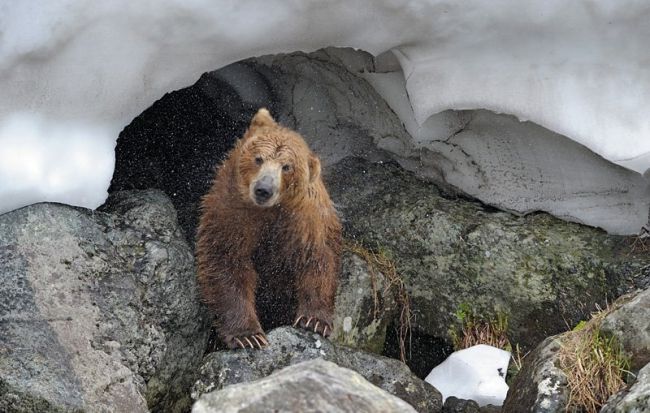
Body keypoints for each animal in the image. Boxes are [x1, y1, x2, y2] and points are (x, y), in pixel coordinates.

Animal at [195, 108, 342, 348]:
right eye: (258, 158)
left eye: (287, 166)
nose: (264, 189)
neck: (269, 213)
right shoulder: (232, 216)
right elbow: (227, 263)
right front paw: (248, 335)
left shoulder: (305, 224)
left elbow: (316, 260)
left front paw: (314, 321)